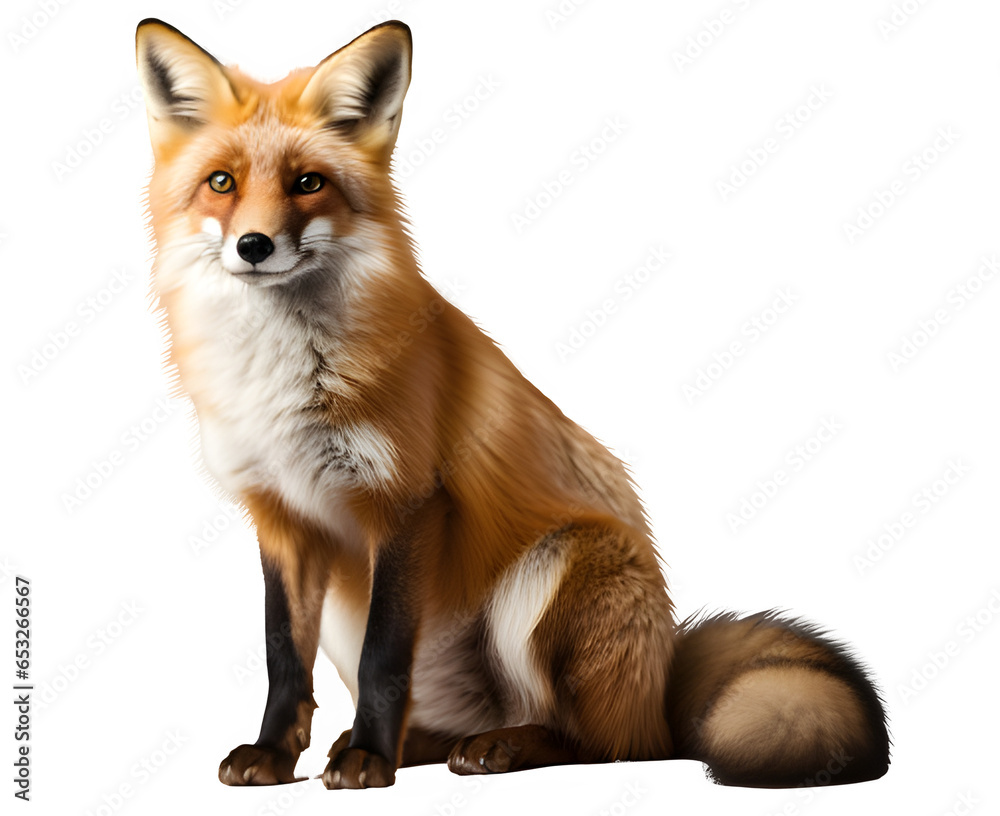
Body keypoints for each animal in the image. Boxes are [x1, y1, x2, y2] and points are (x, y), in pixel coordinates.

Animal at [135, 18, 890, 790]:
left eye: (308, 183)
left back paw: (492, 748)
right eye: (221, 183)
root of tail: (661, 682)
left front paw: (369, 761)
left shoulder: (407, 501)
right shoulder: (281, 518)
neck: (284, 380)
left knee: (604, 743)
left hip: (549, 574)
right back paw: (410, 744)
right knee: (454, 727)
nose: (254, 246)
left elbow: (384, 660)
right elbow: (283, 658)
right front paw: (274, 755)